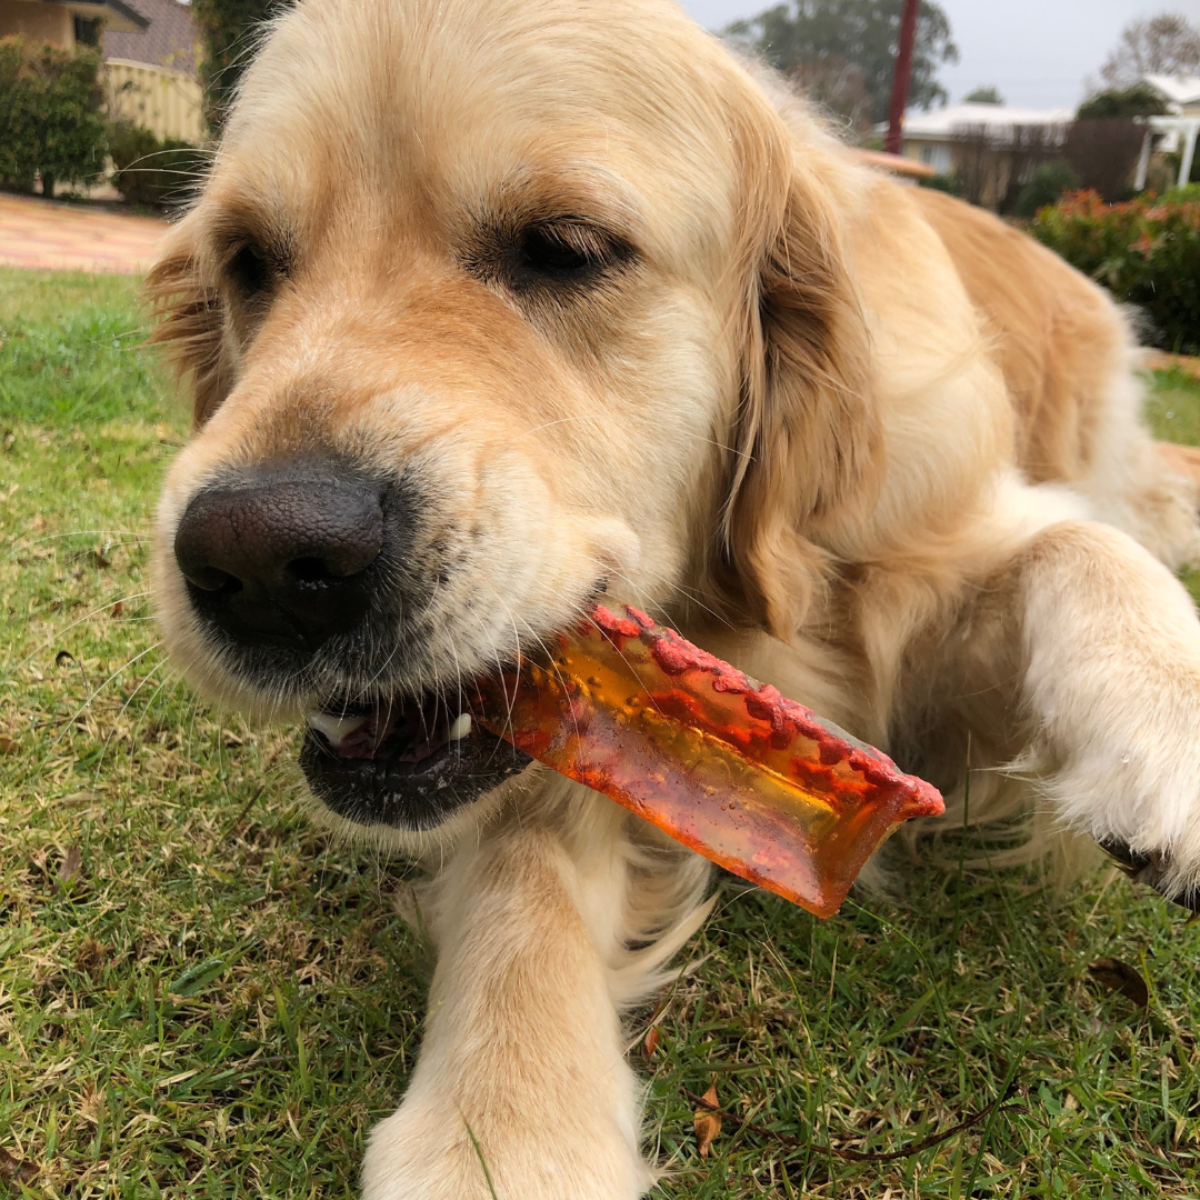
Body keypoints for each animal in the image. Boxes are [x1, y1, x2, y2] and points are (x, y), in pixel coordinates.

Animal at [147, 4, 1200, 1195]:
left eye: (565, 248)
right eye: (248, 261)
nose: (258, 561)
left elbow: (1078, 541)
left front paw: (1169, 722)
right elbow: (522, 854)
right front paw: (504, 1124)